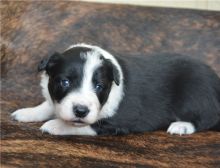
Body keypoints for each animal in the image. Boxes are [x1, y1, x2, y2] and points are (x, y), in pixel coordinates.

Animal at [11, 43, 220, 135]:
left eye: (99, 86)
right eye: (65, 82)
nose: (81, 110)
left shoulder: (117, 123)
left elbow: (85, 125)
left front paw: (54, 125)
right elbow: (48, 104)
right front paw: (28, 112)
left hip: (196, 94)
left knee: (207, 118)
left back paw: (181, 126)